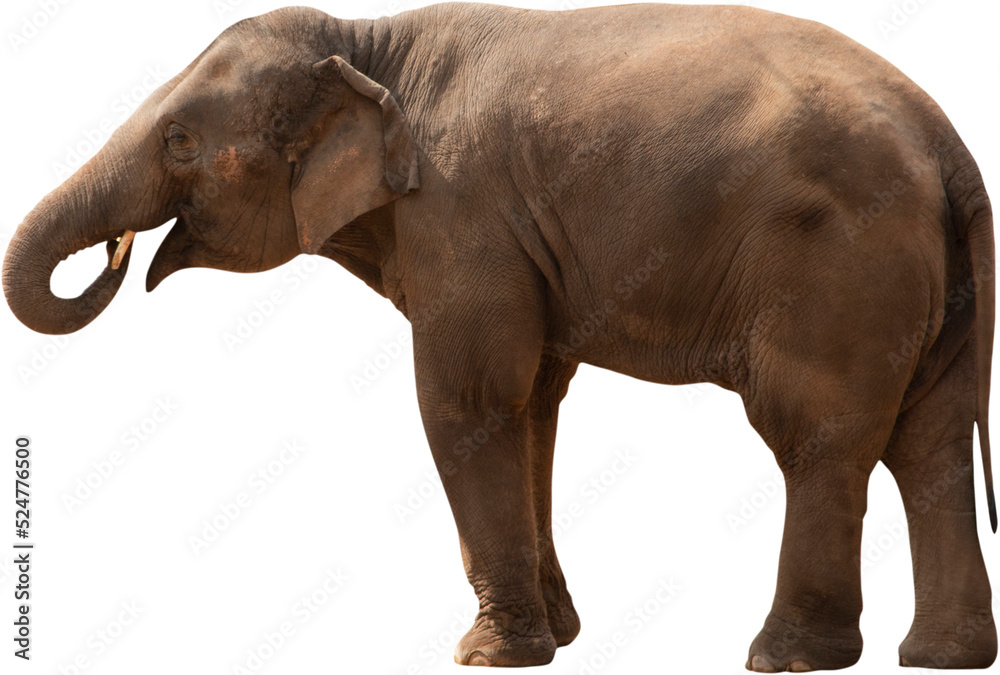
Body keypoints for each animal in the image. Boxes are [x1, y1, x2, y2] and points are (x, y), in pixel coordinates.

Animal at [3, 2, 996, 670]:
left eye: (178, 140)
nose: (122, 254)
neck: (369, 42)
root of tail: (950, 147)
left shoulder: (459, 211)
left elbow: (471, 398)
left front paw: (487, 655)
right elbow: (534, 401)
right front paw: (559, 636)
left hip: (837, 266)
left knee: (818, 436)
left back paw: (785, 657)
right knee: (932, 440)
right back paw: (940, 657)